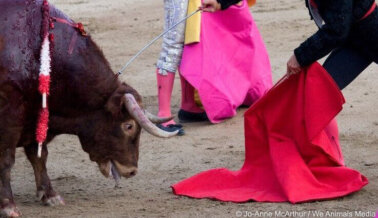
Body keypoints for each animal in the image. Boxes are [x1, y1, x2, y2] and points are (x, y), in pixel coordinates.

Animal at [0, 0, 177, 216]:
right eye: (128, 126)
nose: (132, 170)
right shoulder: (10, 117)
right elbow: (6, 160)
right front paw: (8, 205)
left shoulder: (37, 117)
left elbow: (39, 156)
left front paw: (50, 195)